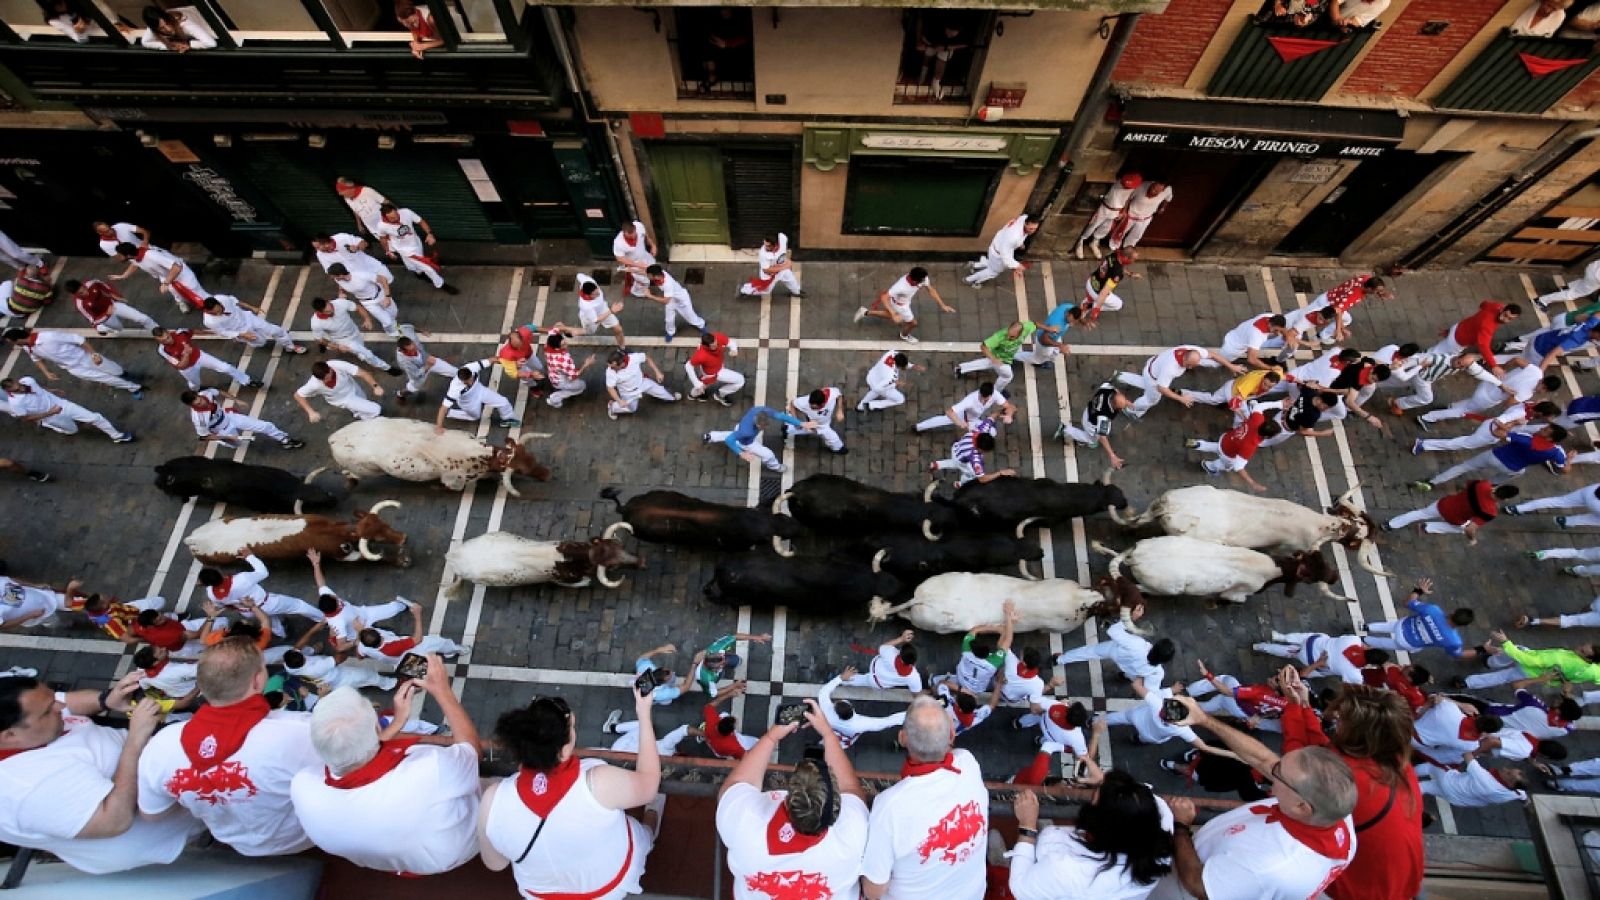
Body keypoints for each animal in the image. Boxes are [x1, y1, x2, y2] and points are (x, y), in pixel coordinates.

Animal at [1088, 531, 1350, 602]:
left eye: (1320, 558)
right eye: (1310, 575)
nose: (1335, 576)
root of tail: (1137, 555)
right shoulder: (1237, 595)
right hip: (1165, 588)